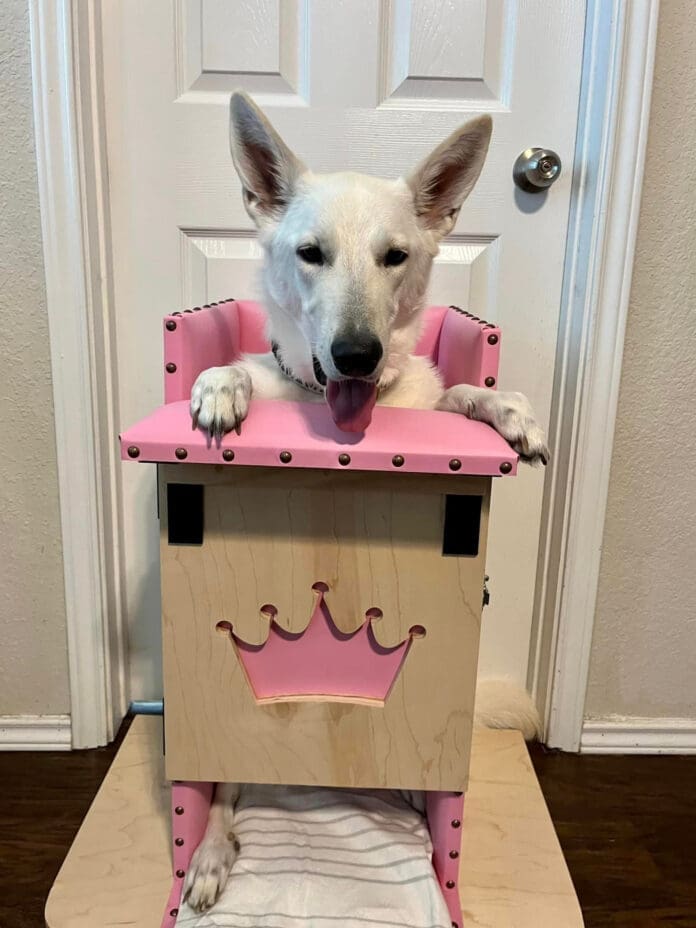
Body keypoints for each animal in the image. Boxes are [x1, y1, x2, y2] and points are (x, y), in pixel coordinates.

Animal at [184, 96, 548, 912]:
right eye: (310, 253)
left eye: (395, 256)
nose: (358, 355)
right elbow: (241, 369)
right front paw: (220, 384)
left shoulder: (426, 392)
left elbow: (459, 391)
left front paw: (508, 409)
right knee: (220, 786)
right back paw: (211, 855)